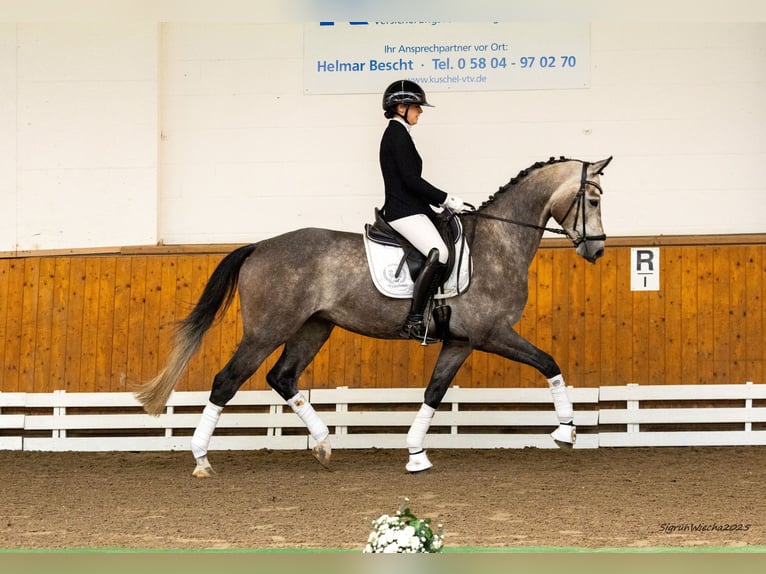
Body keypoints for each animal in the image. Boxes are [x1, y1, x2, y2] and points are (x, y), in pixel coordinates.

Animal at [136, 155, 612, 476]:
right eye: (591, 199)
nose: (597, 250)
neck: (498, 241)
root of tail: (260, 246)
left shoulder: (460, 342)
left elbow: (434, 392)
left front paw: (416, 454)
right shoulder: (490, 333)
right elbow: (549, 362)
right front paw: (566, 431)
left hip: (314, 327)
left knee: (282, 377)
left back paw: (323, 445)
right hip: (268, 330)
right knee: (227, 381)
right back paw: (201, 459)